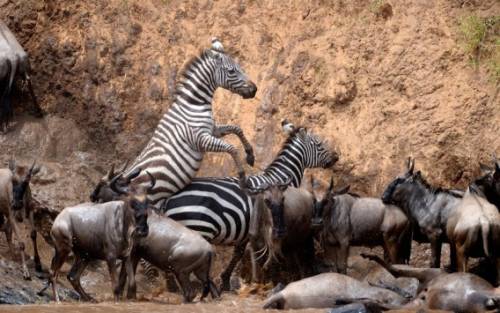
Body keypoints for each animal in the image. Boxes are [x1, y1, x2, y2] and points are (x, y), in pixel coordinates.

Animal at [92, 37, 258, 206]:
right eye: (232, 71)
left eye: (240, 68)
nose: (254, 90)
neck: (193, 104)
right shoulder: (199, 139)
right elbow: (231, 148)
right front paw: (243, 178)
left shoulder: (213, 130)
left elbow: (237, 129)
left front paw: (250, 155)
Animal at [160, 120, 340, 290]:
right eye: (319, 144)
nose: (337, 157)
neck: (278, 179)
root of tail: (168, 198)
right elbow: (272, 252)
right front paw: (269, 279)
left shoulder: (246, 231)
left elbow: (239, 254)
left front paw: (227, 281)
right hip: (199, 228)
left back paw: (172, 286)